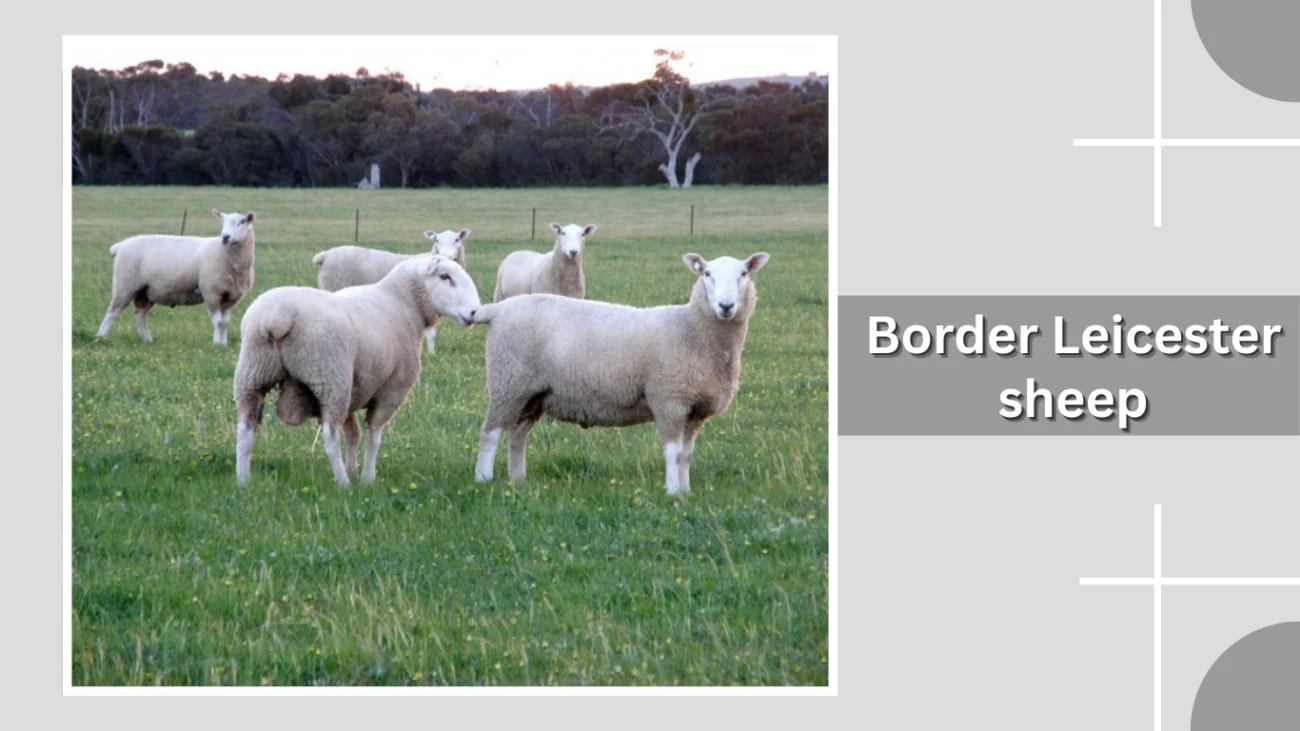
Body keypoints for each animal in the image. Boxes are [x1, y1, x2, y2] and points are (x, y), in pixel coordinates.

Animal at [96, 209, 257, 345]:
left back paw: (148, 340)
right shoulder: (211, 292)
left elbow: (226, 322)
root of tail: (120, 245)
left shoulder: (231, 297)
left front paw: (223, 344)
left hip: (145, 291)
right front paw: (216, 344)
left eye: (242, 221)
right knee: (113, 311)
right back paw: (100, 337)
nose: (225, 237)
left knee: (140, 315)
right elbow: (218, 322)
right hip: (125, 284)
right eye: (223, 222)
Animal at [234, 254, 482, 486]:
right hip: (332, 380)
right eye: (445, 277)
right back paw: (342, 482)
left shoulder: (356, 387)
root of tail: (276, 317)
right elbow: (374, 434)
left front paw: (353, 470)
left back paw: (243, 480)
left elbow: (353, 434)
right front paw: (366, 478)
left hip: (252, 373)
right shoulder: (393, 387)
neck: (403, 302)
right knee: (330, 434)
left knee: (246, 428)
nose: (474, 312)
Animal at [312, 228, 471, 355]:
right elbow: (431, 333)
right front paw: (432, 355)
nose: (446, 256)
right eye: (436, 240)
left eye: (457, 239)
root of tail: (325, 255)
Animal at [471, 251, 771, 497]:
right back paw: (483, 479)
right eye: (707, 274)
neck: (691, 329)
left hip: (533, 392)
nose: (726, 306)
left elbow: (686, 455)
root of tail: (498, 309)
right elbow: (673, 453)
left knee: (518, 435)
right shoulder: (669, 400)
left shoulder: (694, 411)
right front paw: (673, 493)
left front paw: (686, 491)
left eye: (743, 274)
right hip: (508, 382)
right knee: (490, 432)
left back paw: (518, 479)